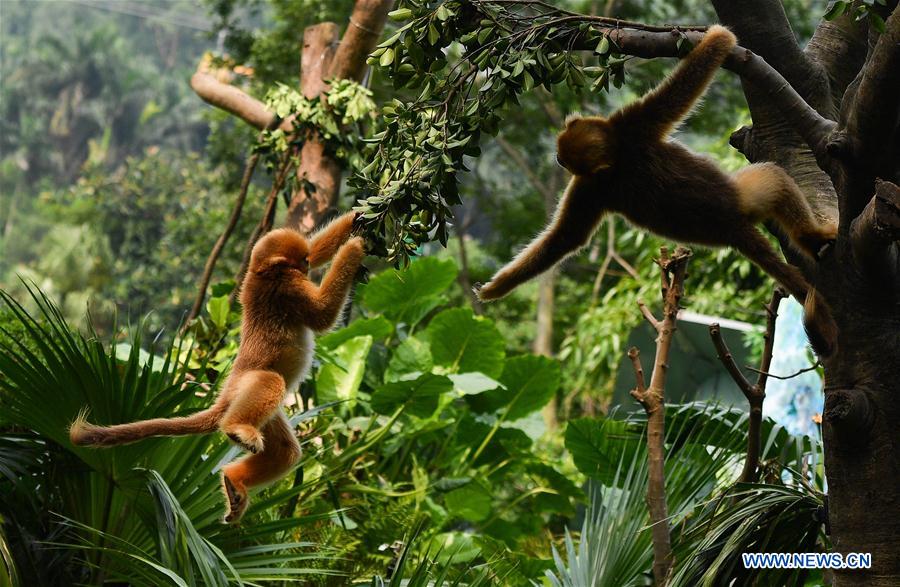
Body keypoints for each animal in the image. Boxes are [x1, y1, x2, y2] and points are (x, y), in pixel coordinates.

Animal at [70, 212, 366, 524]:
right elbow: (322, 316)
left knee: (285, 451)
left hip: (254, 404)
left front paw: (358, 218)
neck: (260, 273)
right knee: (272, 382)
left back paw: (234, 482)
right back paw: (235, 429)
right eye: (303, 262)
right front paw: (353, 249)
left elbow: (317, 247)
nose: (307, 267)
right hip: (248, 384)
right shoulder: (289, 287)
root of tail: (228, 392)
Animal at [478, 25, 836, 306]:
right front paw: (718, 36)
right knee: (774, 176)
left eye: (560, 157)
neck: (617, 154)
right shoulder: (614, 149)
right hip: (748, 196)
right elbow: (684, 86)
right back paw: (813, 237)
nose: (557, 159)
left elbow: (566, 238)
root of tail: (732, 225)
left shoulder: (618, 143)